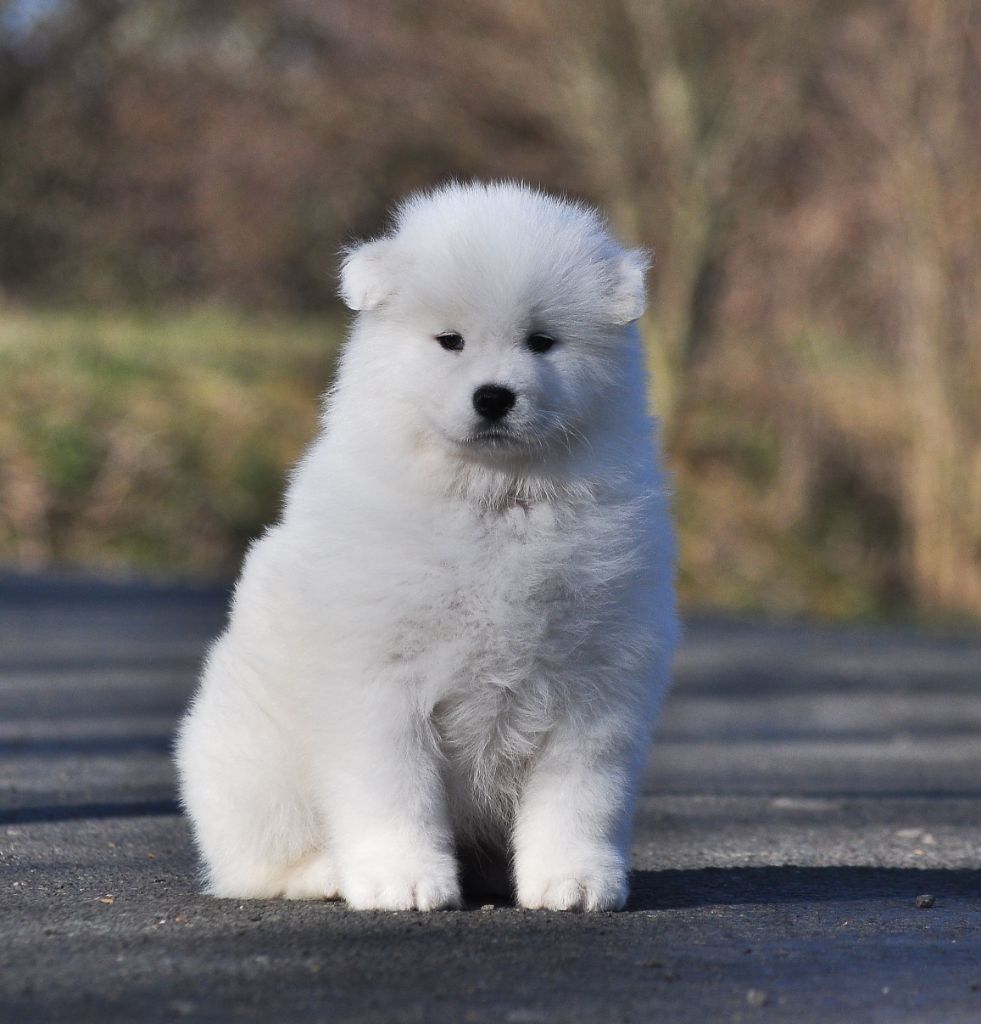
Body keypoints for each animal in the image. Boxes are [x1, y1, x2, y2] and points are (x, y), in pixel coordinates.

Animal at [176, 182, 679, 913]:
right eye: (449, 341)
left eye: (542, 342)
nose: (494, 396)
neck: (493, 502)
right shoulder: (380, 683)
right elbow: (396, 793)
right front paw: (403, 879)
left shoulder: (595, 682)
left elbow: (578, 798)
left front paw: (573, 880)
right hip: (255, 770)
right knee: (257, 863)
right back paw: (327, 873)